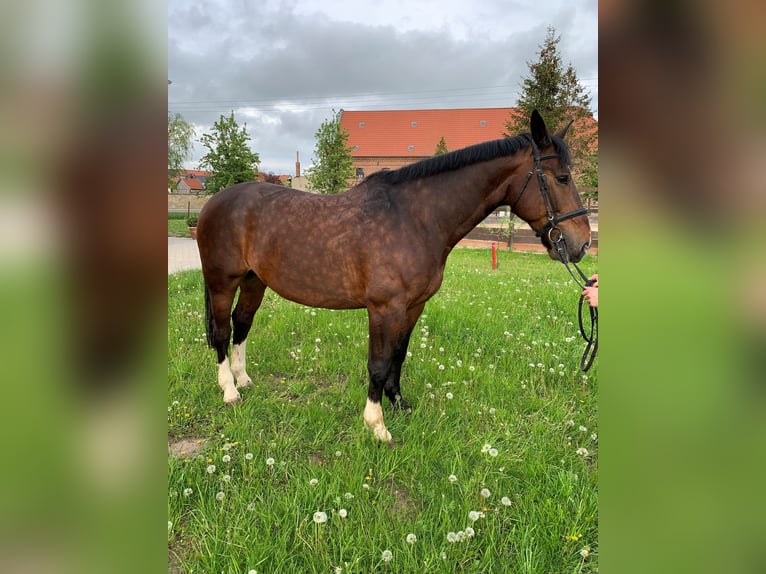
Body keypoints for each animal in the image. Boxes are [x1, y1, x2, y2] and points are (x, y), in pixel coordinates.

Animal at [198, 111, 592, 446]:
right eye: (562, 178)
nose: (582, 243)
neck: (415, 218)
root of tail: (213, 202)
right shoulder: (383, 309)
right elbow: (378, 363)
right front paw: (377, 425)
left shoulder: (413, 306)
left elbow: (398, 356)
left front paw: (399, 404)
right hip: (222, 283)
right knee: (222, 330)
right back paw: (229, 391)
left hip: (254, 281)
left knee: (242, 323)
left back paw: (244, 379)